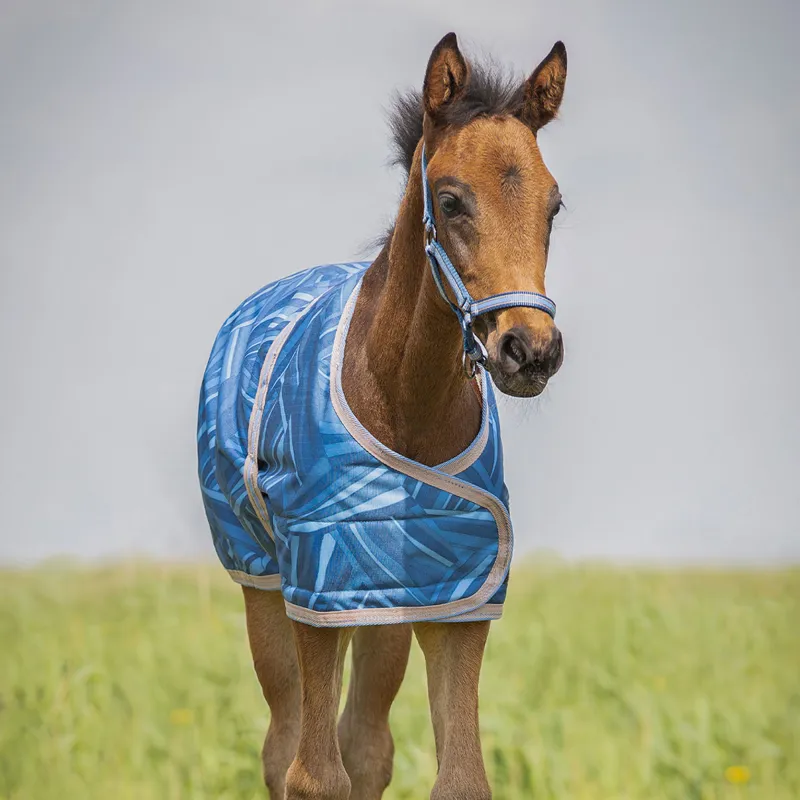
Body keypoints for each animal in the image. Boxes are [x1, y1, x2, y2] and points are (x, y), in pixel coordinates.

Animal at [197, 32, 567, 800]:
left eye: (554, 205)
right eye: (451, 201)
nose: (530, 351)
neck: (405, 402)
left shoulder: (456, 597)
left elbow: (458, 776)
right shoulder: (315, 586)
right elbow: (313, 775)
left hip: (387, 608)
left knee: (366, 742)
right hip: (263, 584)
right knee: (284, 744)